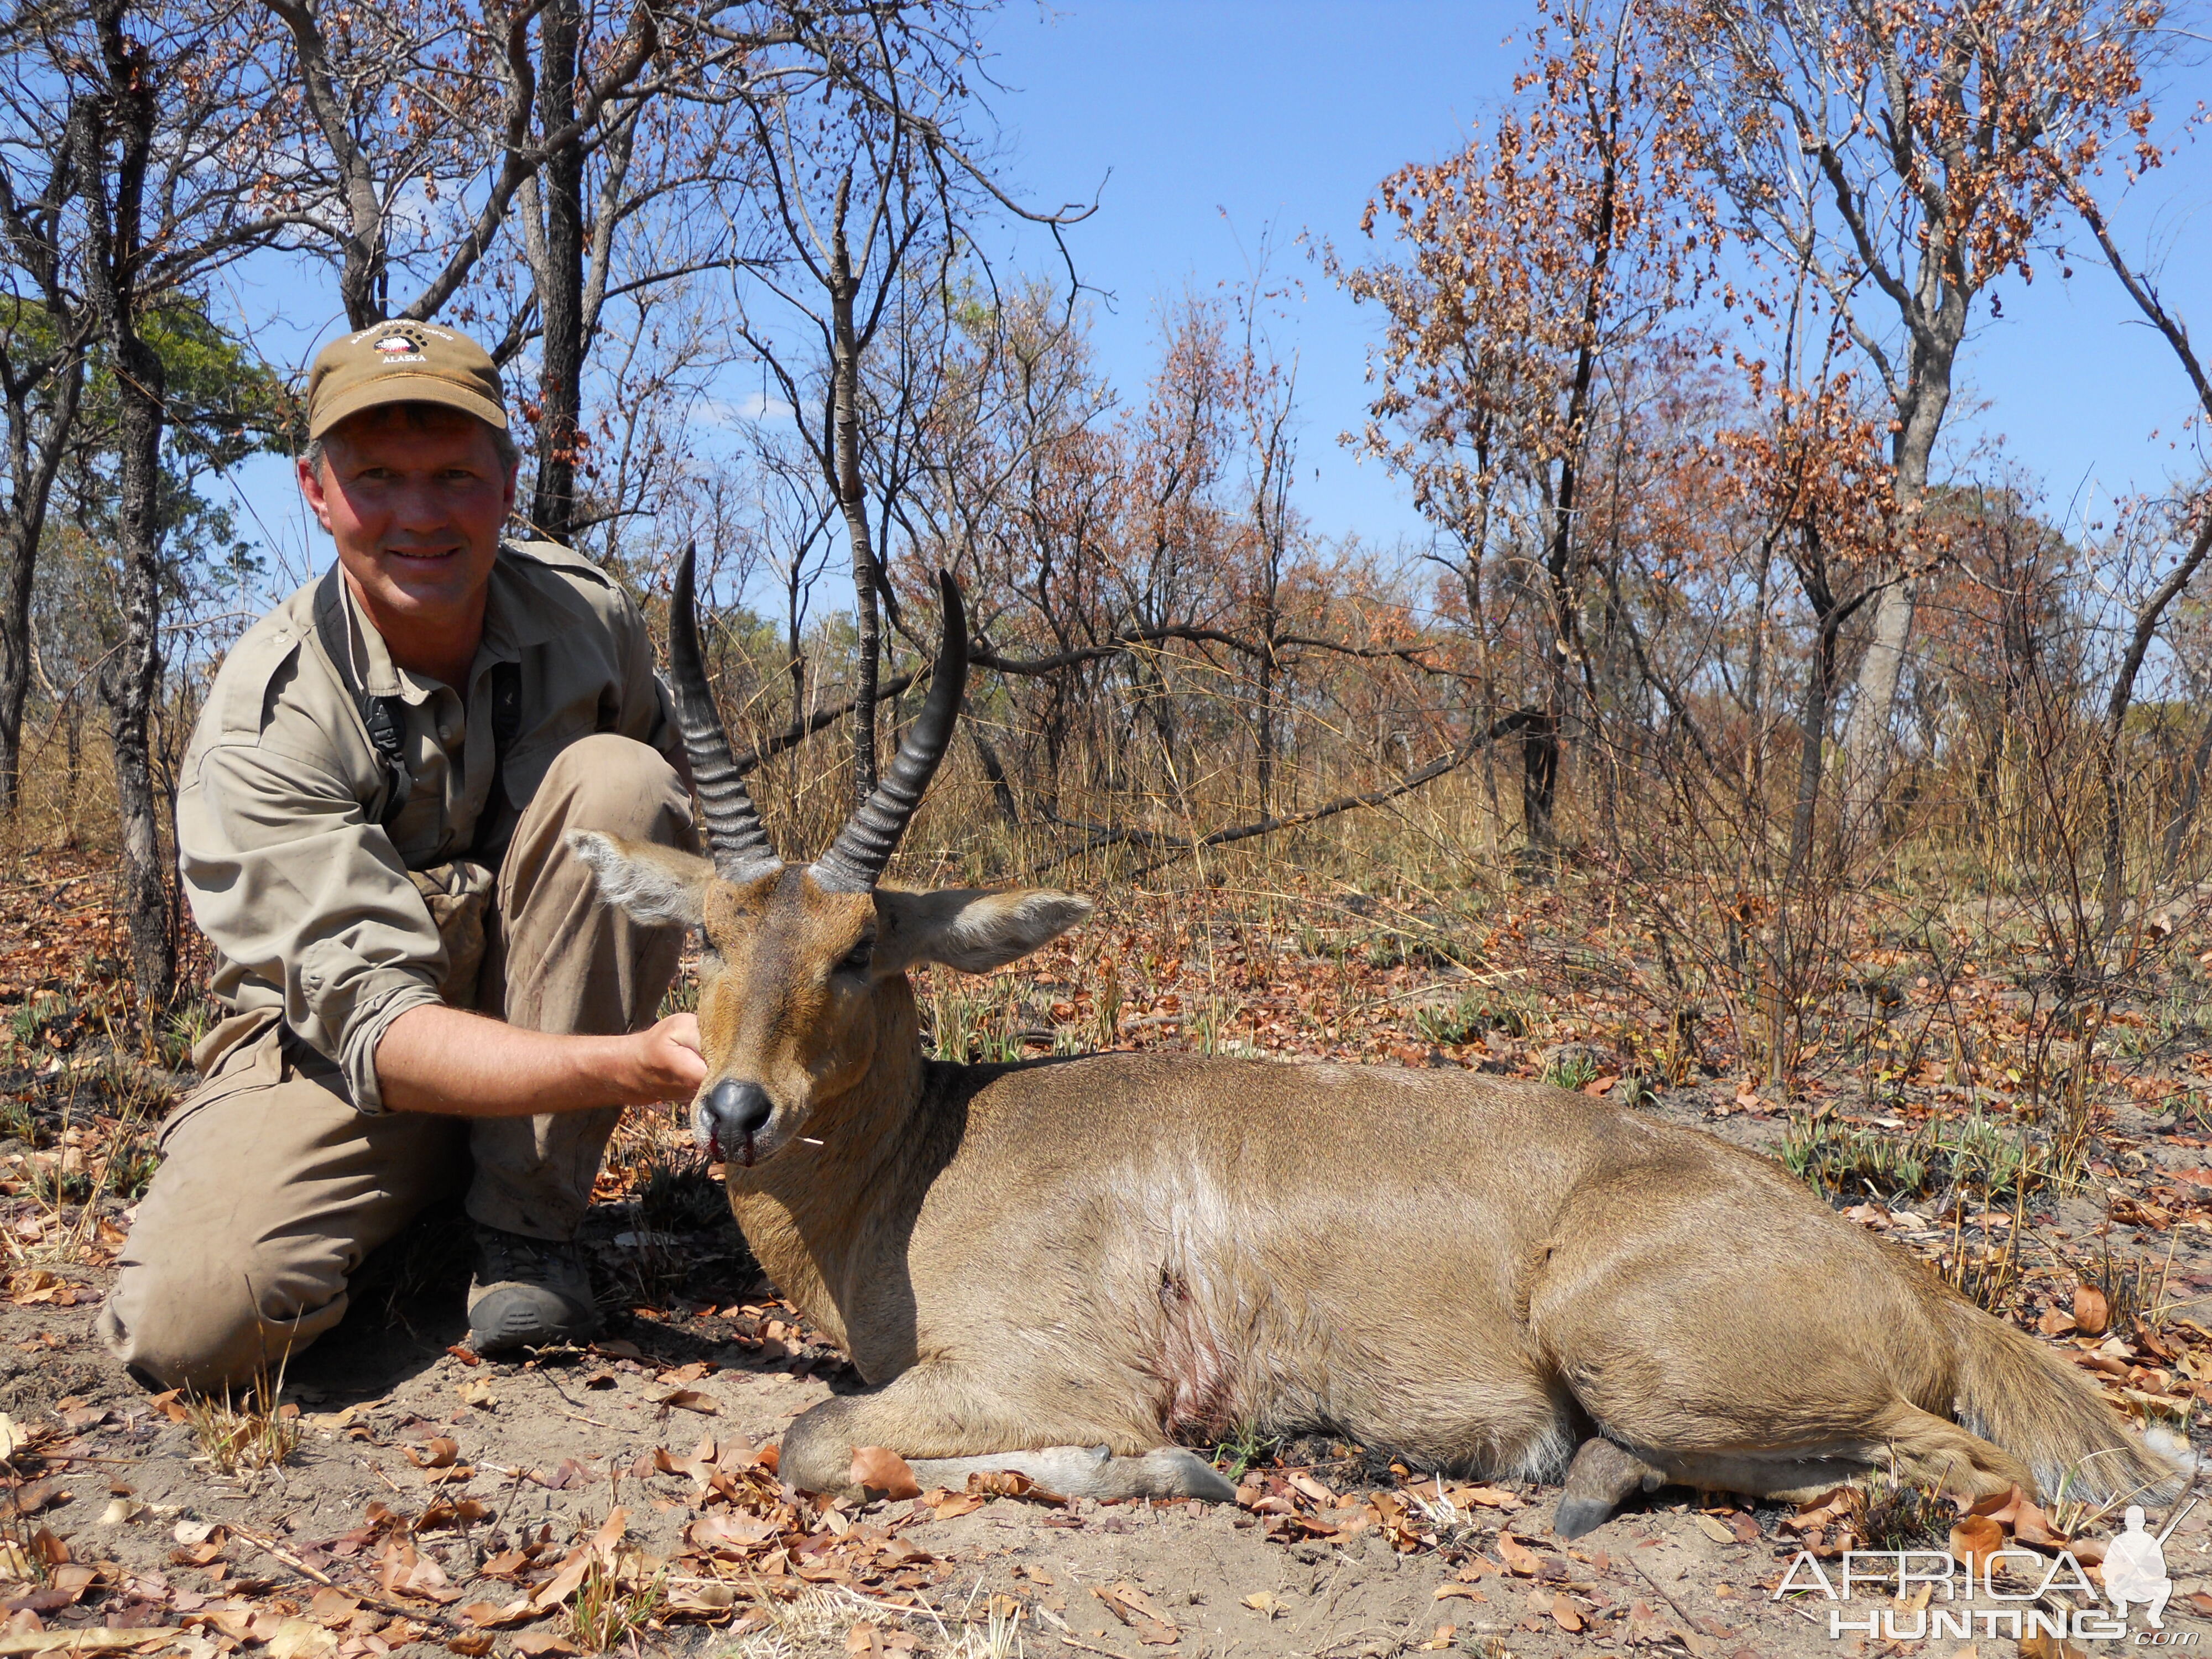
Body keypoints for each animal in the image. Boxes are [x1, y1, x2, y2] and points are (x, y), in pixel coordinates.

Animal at [566, 555, 2177, 1531]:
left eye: (862, 947)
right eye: (707, 932)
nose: (734, 1112)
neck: (922, 1158)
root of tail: (1914, 1281)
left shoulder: (1048, 1370)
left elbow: (818, 1437)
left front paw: (1180, 1466)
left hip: (1645, 1347)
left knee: (1955, 1467)